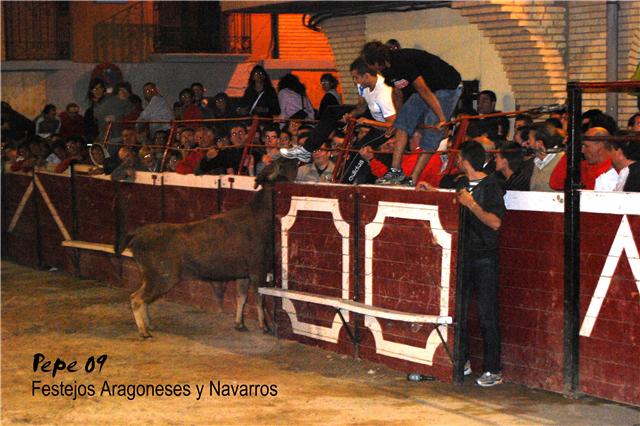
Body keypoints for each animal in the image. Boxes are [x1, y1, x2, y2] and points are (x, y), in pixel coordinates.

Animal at [115, 158, 300, 338]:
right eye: (282, 164)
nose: (297, 160)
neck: (260, 216)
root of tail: (139, 233)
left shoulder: (243, 274)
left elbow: (241, 297)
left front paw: (239, 324)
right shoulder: (257, 271)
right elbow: (259, 299)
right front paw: (265, 327)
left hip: (151, 277)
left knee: (141, 298)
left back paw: (150, 325)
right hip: (162, 277)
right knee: (137, 298)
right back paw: (144, 331)